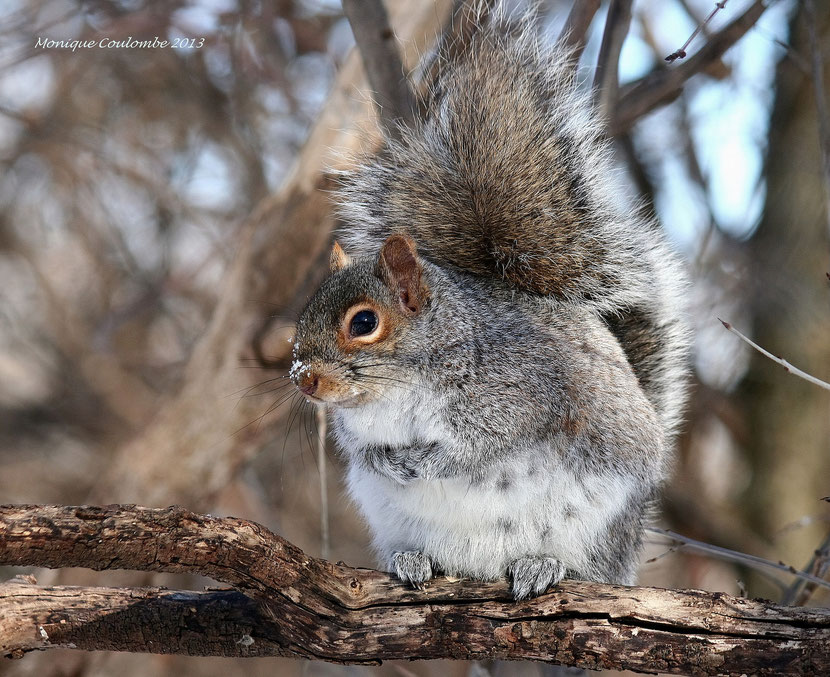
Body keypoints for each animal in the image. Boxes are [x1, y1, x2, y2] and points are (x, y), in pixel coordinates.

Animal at [290, 3, 692, 596]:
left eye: (364, 323)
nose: (304, 379)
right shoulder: (355, 426)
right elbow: (361, 448)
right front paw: (385, 461)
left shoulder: (521, 393)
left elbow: (484, 443)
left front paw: (425, 461)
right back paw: (412, 559)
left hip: (597, 530)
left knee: (583, 564)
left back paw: (543, 566)